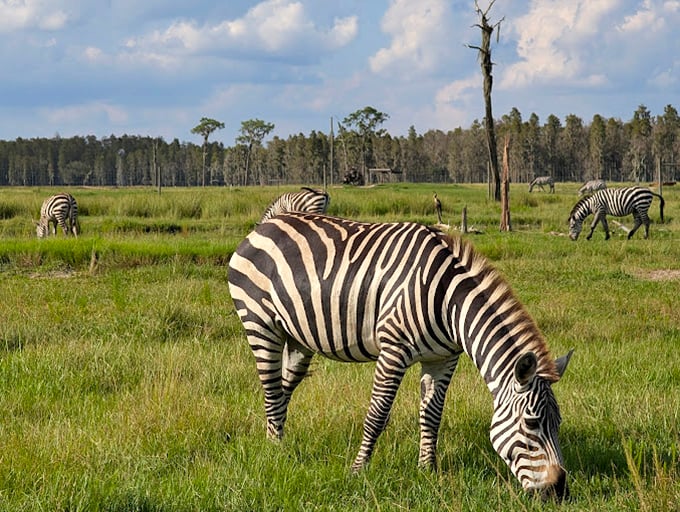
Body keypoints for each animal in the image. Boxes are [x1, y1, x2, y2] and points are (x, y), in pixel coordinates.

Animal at [230, 212, 572, 500]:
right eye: (531, 424)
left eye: (558, 423)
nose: (559, 492)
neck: (450, 302)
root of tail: (266, 223)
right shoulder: (393, 350)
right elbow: (377, 414)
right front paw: (358, 471)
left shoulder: (443, 358)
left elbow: (432, 414)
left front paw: (428, 470)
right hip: (260, 323)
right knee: (271, 388)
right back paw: (275, 450)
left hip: (298, 337)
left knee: (284, 387)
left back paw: (277, 439)